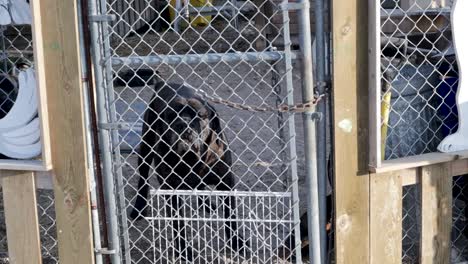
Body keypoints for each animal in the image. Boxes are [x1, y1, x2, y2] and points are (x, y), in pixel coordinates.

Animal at [129, 80, 245, 260]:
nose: (183, 123)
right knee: (143, 178)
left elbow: (230, 216)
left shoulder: (226, 183)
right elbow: (179, 225)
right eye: (171, 115)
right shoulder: (172, 191)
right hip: (145, 147)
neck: (192, 159)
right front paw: (184, 251)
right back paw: (139, 207)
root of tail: (164, 82)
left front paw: (237, 243)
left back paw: (206, 203)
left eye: (200, 116)